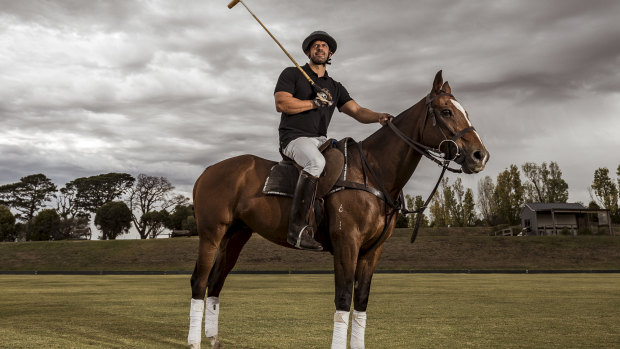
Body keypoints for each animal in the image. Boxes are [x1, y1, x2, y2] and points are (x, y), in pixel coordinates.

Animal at [186, 69, 486, 346]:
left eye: (467, 112)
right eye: (446, 111)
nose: (480, 155)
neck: (374, 171)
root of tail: (206, 171)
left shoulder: (373, 249)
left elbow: (361, 300)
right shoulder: (347, 241)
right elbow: (343, 298)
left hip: (237, 234)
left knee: (216, 280)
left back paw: (213, 338)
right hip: (211, 232)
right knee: (199, 280)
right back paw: (194, 341)